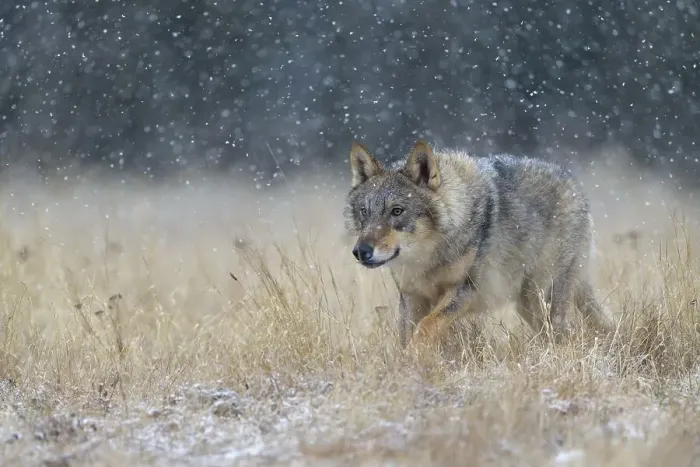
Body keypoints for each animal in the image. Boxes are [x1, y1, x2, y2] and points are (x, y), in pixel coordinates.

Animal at [344, 140, 612, 353]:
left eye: (397, 211)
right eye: (365, 212)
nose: (360, 252)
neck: (430, 257)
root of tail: (575, 187)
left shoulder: (466, 290)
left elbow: (426, 326)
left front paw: (414, 355)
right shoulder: (412, 297)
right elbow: (408, 334)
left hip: (541, 297)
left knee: (566, 334)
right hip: (528, 305)